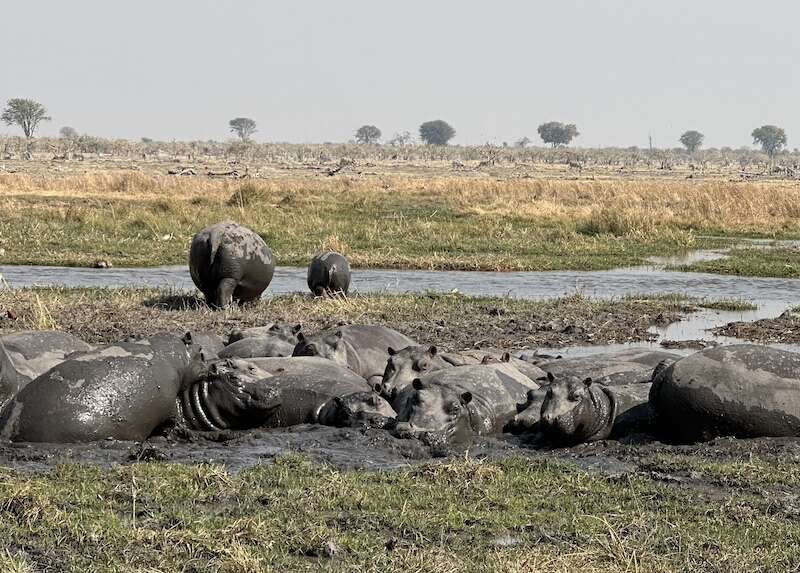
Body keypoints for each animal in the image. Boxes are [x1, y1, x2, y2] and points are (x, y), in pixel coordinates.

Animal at [0, 336, 206, 442]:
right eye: (202, 353)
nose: (211, 366)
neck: (176, 356)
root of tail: (10, 431)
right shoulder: (170, 402)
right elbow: (172, 418)